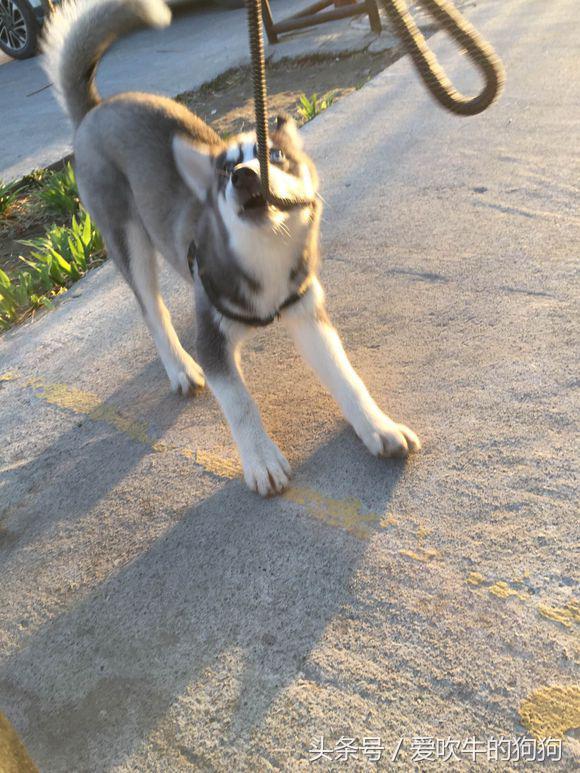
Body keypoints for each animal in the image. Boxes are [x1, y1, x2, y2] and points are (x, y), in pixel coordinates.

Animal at [43, 0, 420, 494]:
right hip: (126, 237)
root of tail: (97, 109)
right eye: (224, 172)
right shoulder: (214, 339)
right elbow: (239, 401)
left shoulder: (307, 313)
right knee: (153, 309)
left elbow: (346, 376)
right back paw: (179, 367)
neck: (265, 258)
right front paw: (261, 459)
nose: (243, 176)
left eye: (274, 156)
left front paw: (378, 426)